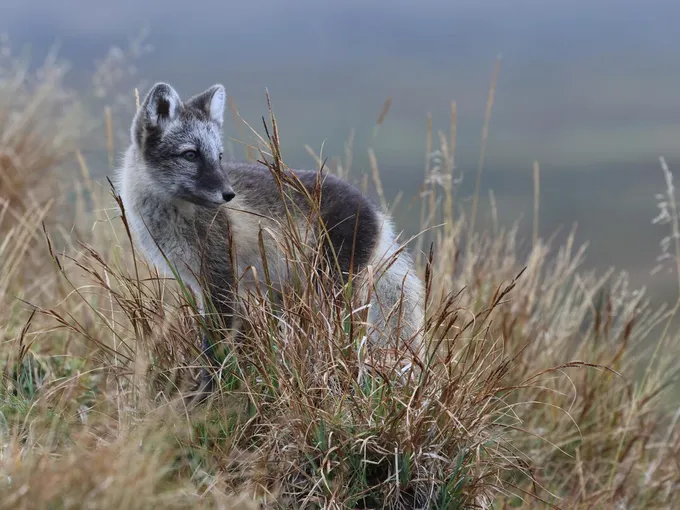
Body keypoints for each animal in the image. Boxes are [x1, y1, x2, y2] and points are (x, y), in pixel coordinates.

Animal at [116, 82, 425, 400]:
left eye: (219, 156)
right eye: (190, 155)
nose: (229, 195)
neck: (173, 213)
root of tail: (377, 214)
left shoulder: (221, 278)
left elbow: (215, 347)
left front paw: (207, 395)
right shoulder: (198, 282)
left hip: (328, 288)